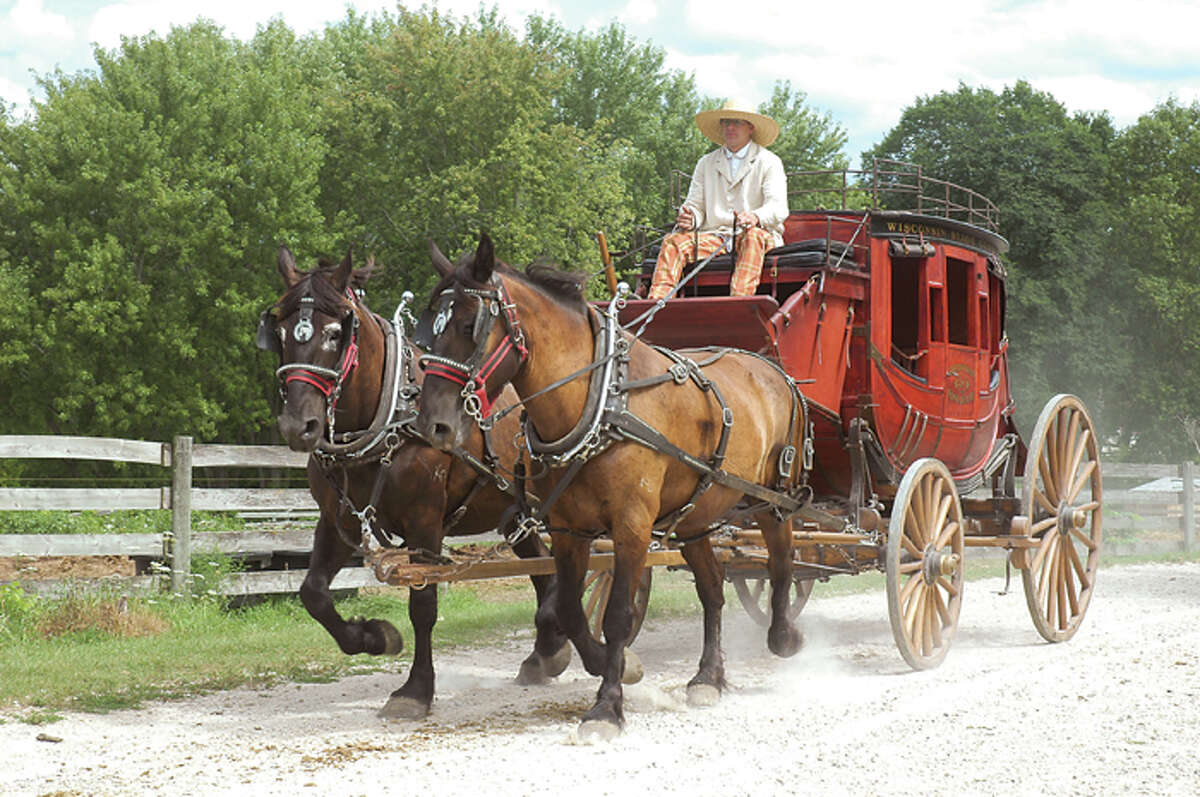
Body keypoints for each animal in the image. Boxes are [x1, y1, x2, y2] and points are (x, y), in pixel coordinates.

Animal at [256, 246, 571, 720]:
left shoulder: (425, 521)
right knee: (543, 570)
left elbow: (423, 606)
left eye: (335, 333)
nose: (299, 425)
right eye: (280, 332)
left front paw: (416, 689)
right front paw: (374, 637)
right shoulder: (339, 521)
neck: (388, 419)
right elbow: (313, 594)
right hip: (517, 513)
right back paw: (546, 652)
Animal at [410, 234, 806, 739]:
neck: (599, 402)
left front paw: (607, 705)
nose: (432, 424)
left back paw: (784, 636)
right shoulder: (567, 528)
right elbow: (570, 609)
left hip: (773, 499)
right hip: (694, 514)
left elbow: (617, 614)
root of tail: (771, 369)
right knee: (713, 589)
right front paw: (609, 665)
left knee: (782, 562)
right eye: (428, 326)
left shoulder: (631, 525)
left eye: (467, 324)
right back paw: (708, 677)